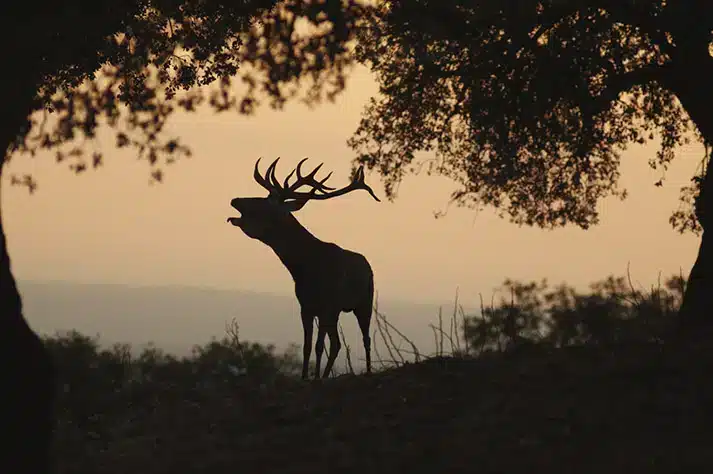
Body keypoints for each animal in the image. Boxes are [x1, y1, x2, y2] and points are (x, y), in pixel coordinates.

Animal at [227, 157, 381, 380]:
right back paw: (325, 376)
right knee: (336, 344)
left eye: (263, 203)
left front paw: (314, 378)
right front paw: (305, 377)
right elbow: (307, 346)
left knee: (365, 338)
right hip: (336, 313)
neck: (305, 269)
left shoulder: (327, 305)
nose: (235, 200)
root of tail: (368, 266)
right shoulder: (306, 306)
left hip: (364, 302)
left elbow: (318, 345)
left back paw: (366, 371)